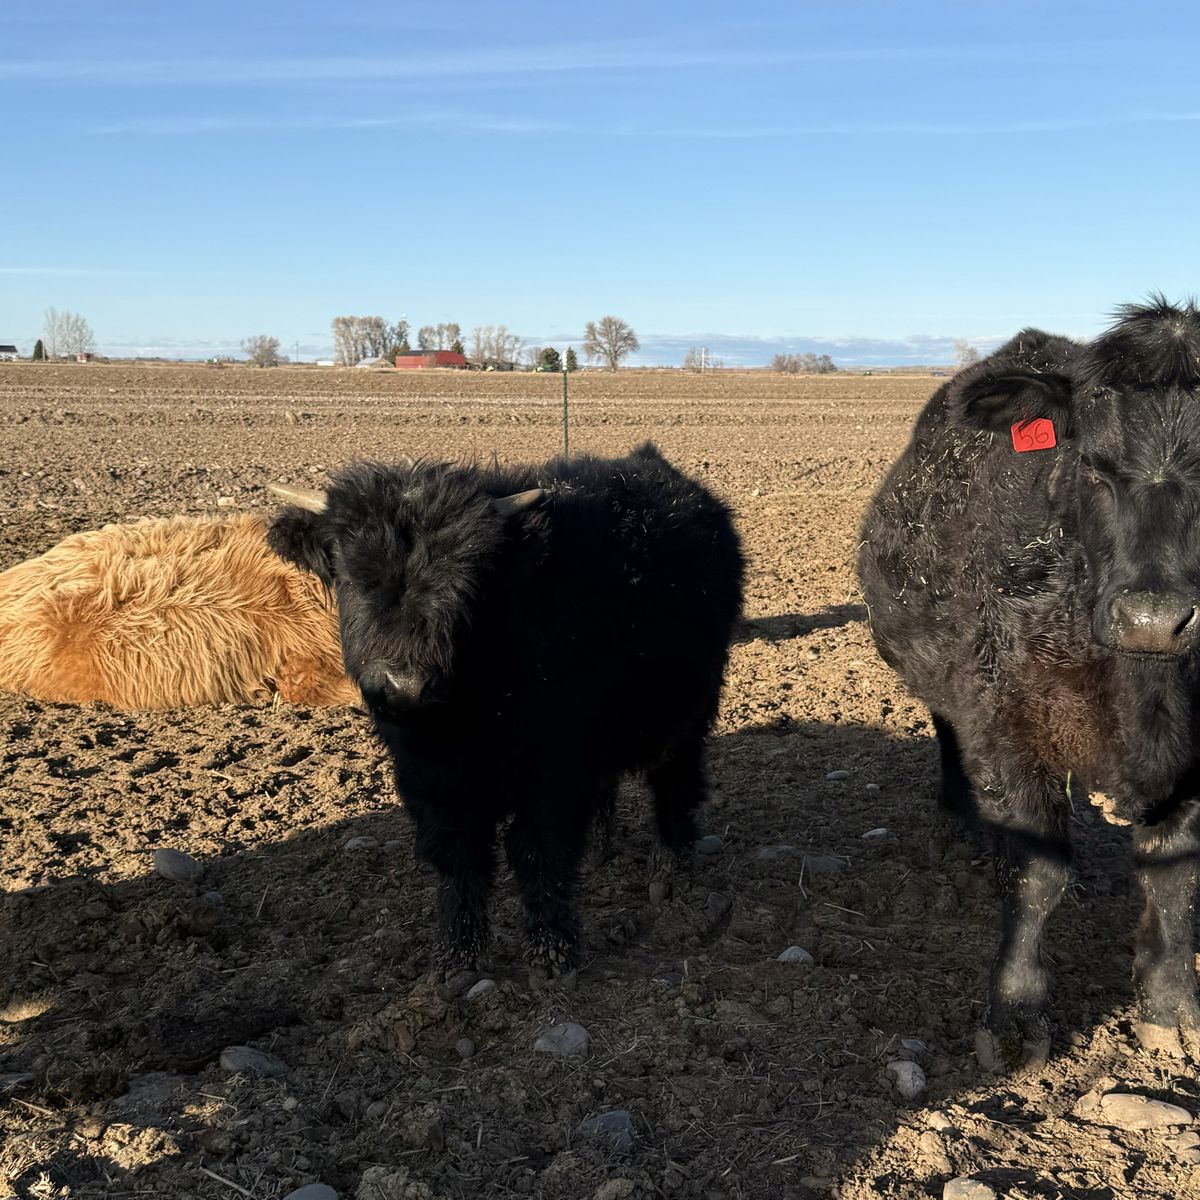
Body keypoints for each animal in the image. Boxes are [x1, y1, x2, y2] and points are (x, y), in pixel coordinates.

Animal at [267, 442, 744, 982]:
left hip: (690, 706)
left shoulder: (555, 769)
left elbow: (539, 851)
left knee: (675, 783)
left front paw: (552, 952)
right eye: (352, 574)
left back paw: (670, 872)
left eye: (467, 577)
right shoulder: (428, 777)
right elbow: (459, 854)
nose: (403, 686)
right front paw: (457, 956)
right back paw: (601, 853)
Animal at [859, 298, 1200, 1070]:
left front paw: (1170, 1001)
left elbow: (1173, 871)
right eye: (1093, 465)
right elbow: (1038, 874)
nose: (1153, 620)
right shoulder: (1008, 725)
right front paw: (1014, 1013)